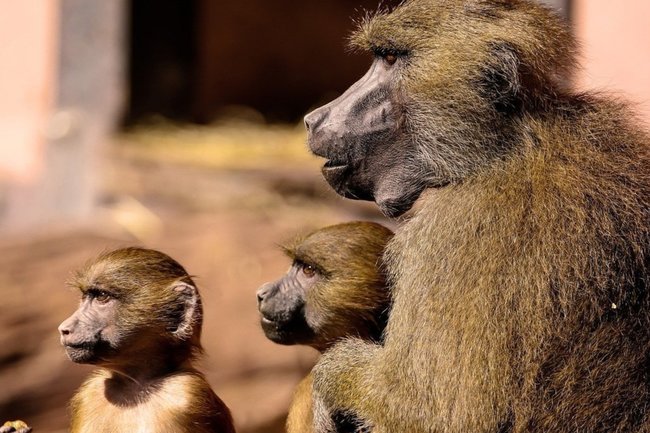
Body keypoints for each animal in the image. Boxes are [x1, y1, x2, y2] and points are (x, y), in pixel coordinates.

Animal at [58, 247, 235, 433]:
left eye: (102, 296)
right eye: (85, 297)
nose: (64, 329)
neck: (135, 385)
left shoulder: (185, 393)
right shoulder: (90, 393)